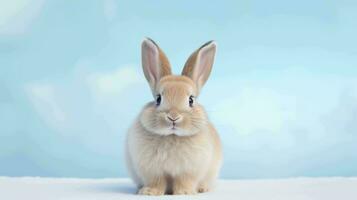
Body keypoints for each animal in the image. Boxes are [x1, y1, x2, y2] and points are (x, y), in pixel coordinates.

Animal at [124, 38, 221, 195]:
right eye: (158, 99)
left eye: (191, 100)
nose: (173, 117)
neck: (172, 136)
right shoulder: (153, 171)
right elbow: (157, 182)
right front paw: (149, 192)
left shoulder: (189, 171)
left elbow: (184, 181)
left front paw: (185, 193)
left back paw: (202, 189)